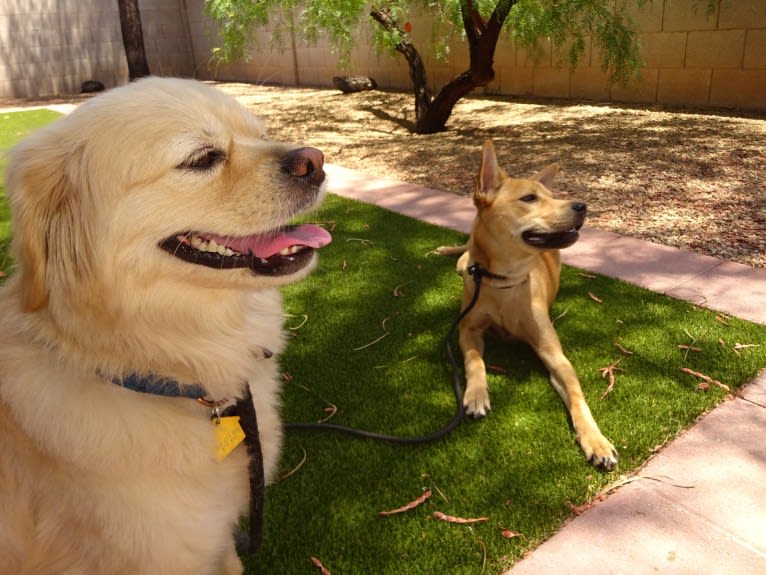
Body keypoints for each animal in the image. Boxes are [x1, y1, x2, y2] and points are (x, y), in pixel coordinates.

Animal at [438, 142, 616, 470]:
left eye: (551, 195)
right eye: (529, 198)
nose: (582, 205)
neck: (504, 281)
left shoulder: (553, 352)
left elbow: (577, 396)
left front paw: (595, 440)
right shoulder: (468, 328)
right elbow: (474, 360)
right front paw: (476, 394)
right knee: (465, 251)